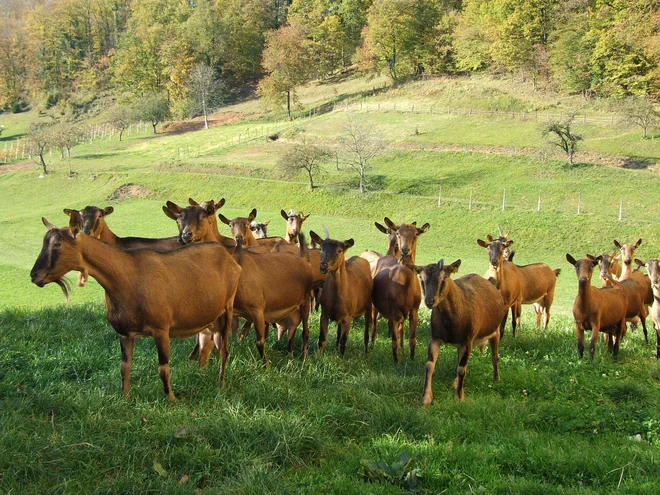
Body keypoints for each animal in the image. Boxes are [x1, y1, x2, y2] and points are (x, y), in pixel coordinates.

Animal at [31, 216, 241, 400]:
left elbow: (163, 368)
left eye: (57, 244)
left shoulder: (160, 329)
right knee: (207, 346)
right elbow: (125, 367)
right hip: (209, 319)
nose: (34, 276)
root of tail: (230, 259)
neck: (127, 277)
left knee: (224, 350)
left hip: (227, 309)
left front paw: (171, 399)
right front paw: (124, 398)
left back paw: (221, 384)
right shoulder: (124, 332)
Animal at [418, 260, 506, 404]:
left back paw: (496, 379)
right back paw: (455, 382)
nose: (429, 301)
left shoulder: (467, 340)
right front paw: (426, 398)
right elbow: (430, 366)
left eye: (444, 278)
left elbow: (461, 369)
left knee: (494, 356)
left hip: (495, 332)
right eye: (421, 278)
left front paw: (459, 397)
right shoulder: (435, 338)